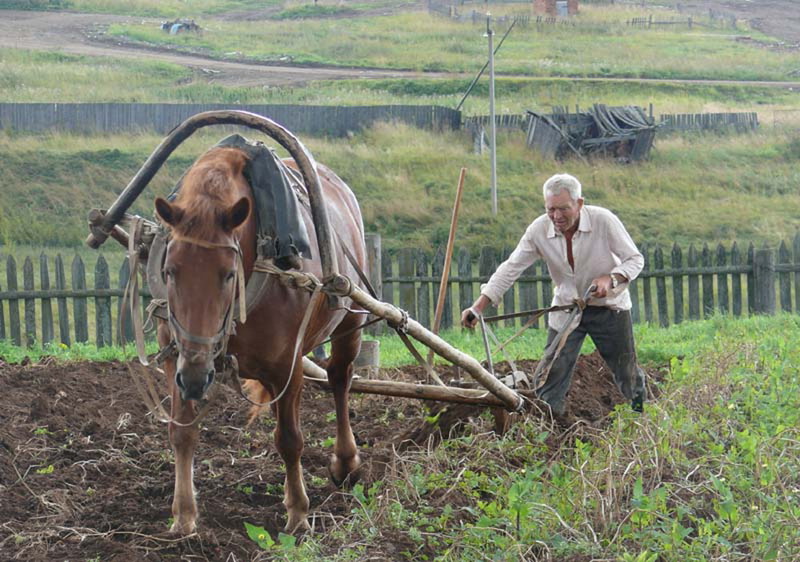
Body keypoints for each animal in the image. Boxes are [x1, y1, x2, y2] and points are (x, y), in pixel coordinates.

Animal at [151, 142, 366, 532]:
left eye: (227, 273)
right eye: (170, 270)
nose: (197, 377)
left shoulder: (288, 366)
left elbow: (289, 439)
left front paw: (298, 513)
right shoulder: (178, 358)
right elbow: (182, 432)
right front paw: (184, 515)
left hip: (349, 321)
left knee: (340, 378)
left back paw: (346, 461)